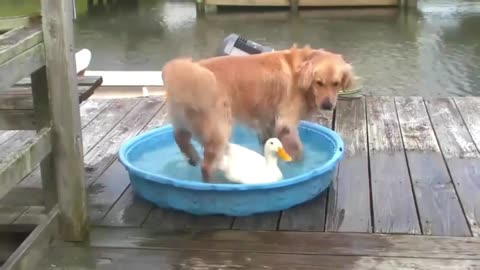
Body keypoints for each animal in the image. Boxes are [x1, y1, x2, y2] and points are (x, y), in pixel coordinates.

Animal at [161, 45, 352, 181]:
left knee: (179, 137)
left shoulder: (268, 122)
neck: (298, 73)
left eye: (336, 83)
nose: (327, 105)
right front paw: (299, 167)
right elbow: (297, 151)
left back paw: (192, 156)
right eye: (319, 82)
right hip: (219, 127)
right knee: (206, 166)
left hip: (186, 121)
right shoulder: (286, 123)